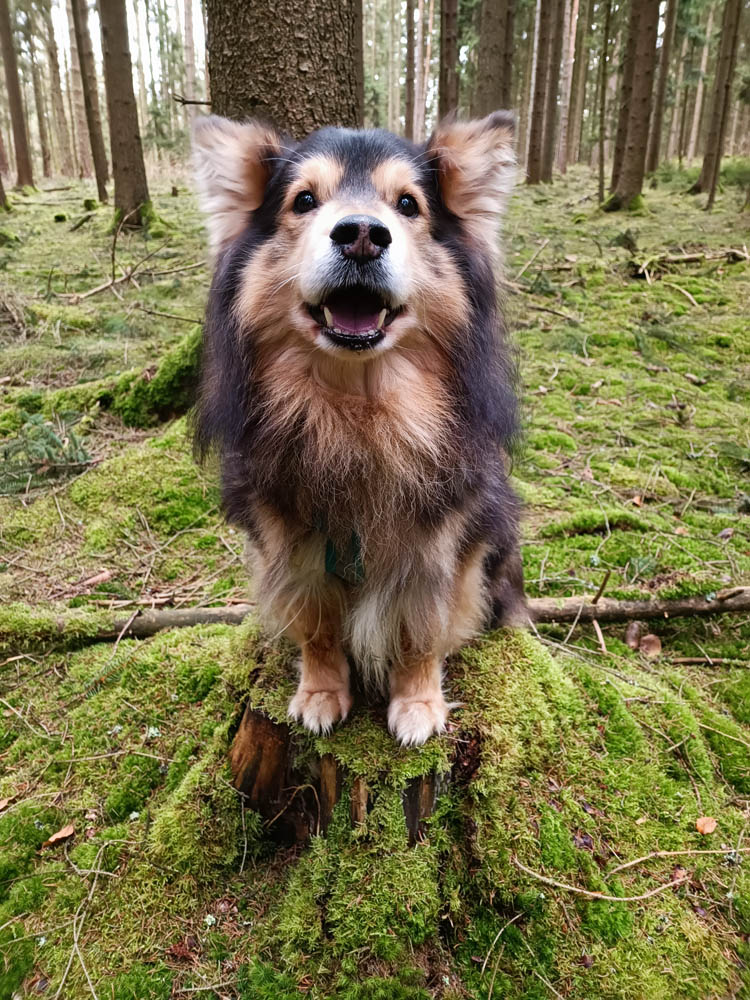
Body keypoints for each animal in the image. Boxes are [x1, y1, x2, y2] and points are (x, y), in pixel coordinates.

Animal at [192, 112, 526, 746]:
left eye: (408, 204)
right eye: (303, 200)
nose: (363, 234)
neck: (358, 411)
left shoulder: (440, 542)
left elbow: (423, 628)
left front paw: (418, 704)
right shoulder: (293, 543)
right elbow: (317, 626)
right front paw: (321, 693)